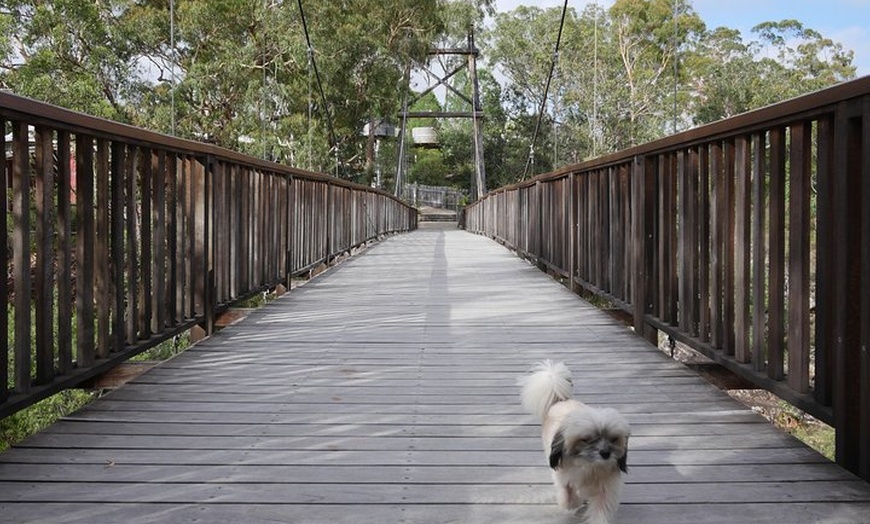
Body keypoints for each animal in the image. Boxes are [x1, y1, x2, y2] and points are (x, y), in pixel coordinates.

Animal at [516, 360, 632, 524]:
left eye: (613, 439)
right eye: (587, 439)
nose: (605, 453)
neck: (590, 468)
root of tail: (562, 400)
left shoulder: (605, 489)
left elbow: (600, 512)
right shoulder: (564, 478)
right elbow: (569, 497)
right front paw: (575, 501)